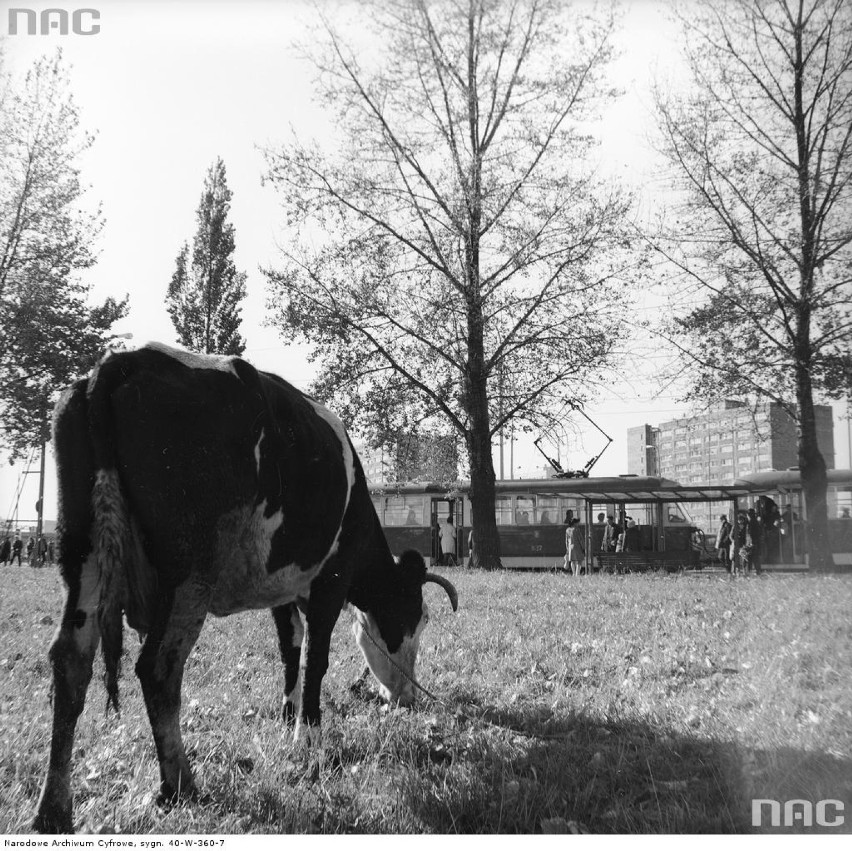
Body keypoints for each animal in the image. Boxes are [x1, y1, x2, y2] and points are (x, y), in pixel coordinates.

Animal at [33, 342, 460, 836]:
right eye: (418, 619)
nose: (408, 698)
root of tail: (123, 362)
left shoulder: (283, 589)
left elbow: (290, 650)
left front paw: (289, 713)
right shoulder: (330, 582)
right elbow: (315, 658)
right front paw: (309, 735)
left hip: (83, 555)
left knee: (71, 661)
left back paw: (54, 809)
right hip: (190, 572)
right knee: (158, 667)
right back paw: (179, 785)